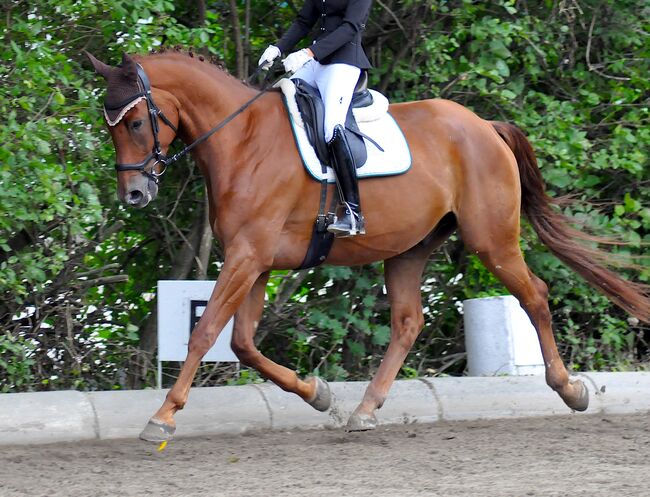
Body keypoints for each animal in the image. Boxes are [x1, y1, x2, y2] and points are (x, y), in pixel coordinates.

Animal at [87, 52, 648, 440]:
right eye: (109, 126)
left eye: (135, 123)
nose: (134, 194)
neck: (241, 140)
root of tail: (483, 126)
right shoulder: (255, 261)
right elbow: (243, 344)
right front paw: (318, 395)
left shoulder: (247, 257)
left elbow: (205, 334)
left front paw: (162, 418)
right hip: (409, 248)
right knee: (408, 321)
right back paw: (364, 409)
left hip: (491, 240)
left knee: (534, 295)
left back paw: (571, 390)